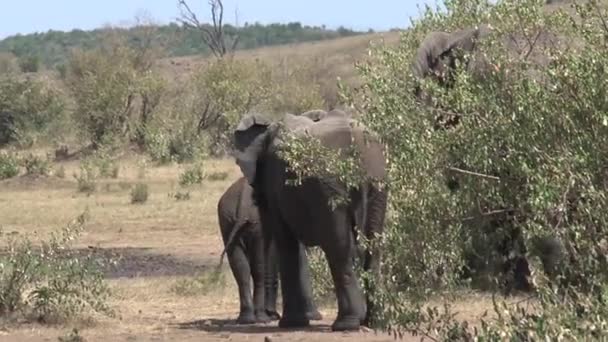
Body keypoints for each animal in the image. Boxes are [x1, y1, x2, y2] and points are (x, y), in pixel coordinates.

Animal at [217, 178, 324, 324]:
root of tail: (242, 204)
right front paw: (314, 317)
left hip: (227, 220)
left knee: (241, 269)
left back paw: (247, 319)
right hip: (255, 223)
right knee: (259, 269)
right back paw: (261, 318)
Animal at [230, 109, 388, 332]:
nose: (267, 316)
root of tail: (358, 145)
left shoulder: (276, 185)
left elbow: (286, 243)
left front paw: (289, 323)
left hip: (329, 187)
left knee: (339, 249)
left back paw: (346, 324)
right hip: (377, 181)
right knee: (373, 247)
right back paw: (373, 322)